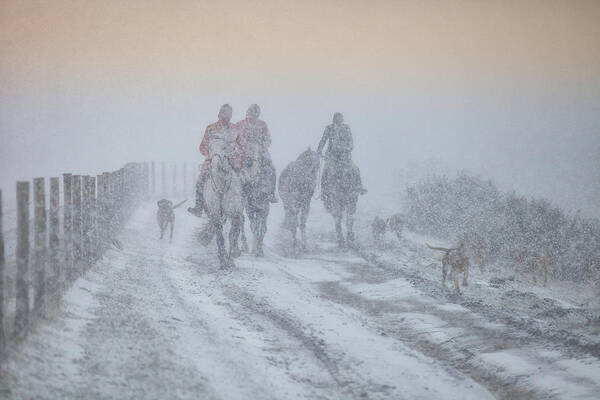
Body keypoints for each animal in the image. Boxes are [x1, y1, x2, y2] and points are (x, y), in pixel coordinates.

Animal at [202, 138, 244, 268]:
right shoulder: (215, 215)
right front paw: (223, 260)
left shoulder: (235, 213)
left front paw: (231, 258)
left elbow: (232, 235)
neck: (221, 187)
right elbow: (220, 236)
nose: (215, 165)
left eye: (225, 147)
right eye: (210, 148)